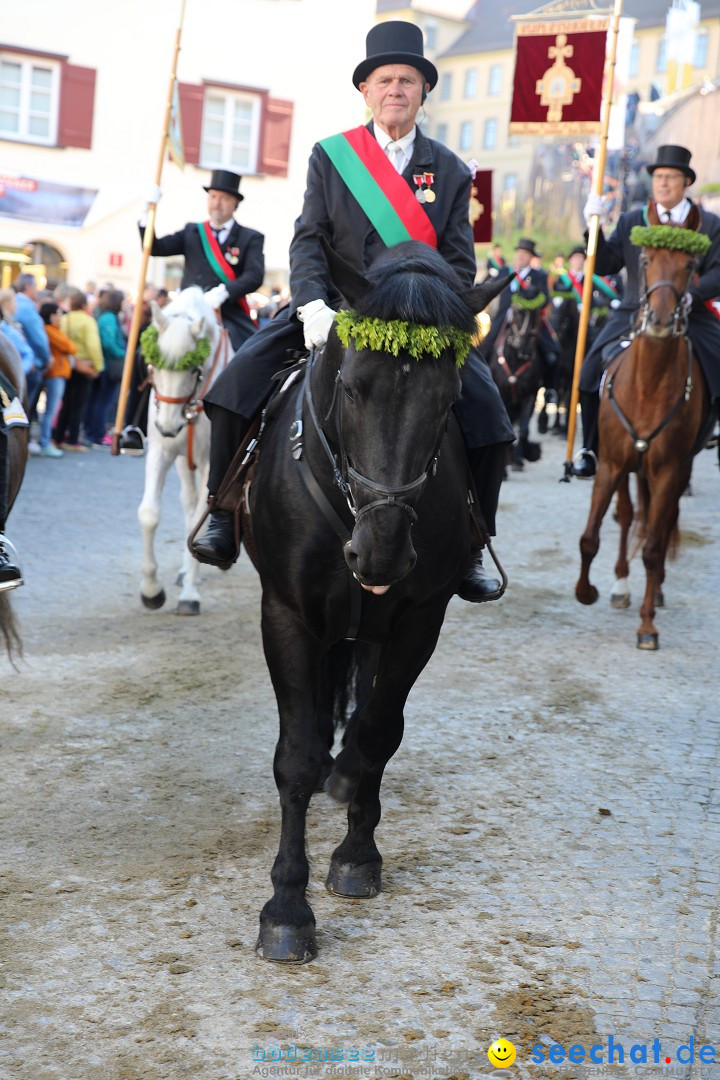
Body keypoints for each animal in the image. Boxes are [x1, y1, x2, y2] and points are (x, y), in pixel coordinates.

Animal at [138, 287, 231, 617]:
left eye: (194, 369)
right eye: (154, 365)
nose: (167, 427)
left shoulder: (211, 464)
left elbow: (196, 521)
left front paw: (190, 595)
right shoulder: (161, 453)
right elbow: (149, 514)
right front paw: (151, 591)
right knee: (188, 503)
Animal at [245, 238, 509, 963]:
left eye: (448, 399)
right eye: (352, 387)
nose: (382, 554)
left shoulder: (418, 619)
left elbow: (377, 731)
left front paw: (357, 853)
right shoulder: (287, 615)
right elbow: (295, 756)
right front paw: (287, 907)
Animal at [487, 306, 544, 470]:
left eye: (536, 314)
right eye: (517, 312)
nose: (525, 350)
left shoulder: (530, 395)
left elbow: (523, 429)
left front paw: (518, 459)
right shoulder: (502, 396)